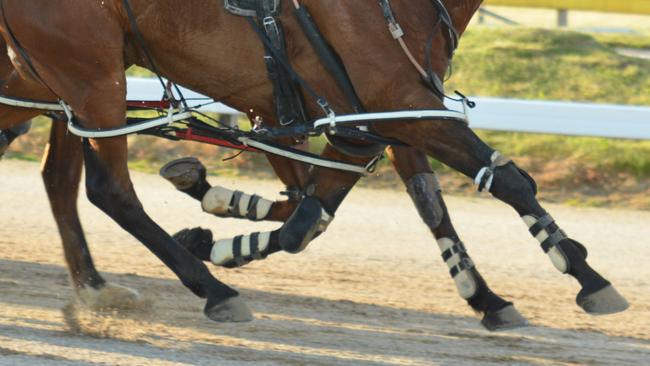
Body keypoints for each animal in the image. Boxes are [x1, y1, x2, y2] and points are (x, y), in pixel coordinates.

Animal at [0, 0, 624, 326]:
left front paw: (487, 296)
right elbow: (510, 182)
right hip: (91, 79)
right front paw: (590, 278)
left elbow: (319, 215)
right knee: (110, 191)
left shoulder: (375, 120)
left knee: (64, 179)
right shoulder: (398, 105)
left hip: (54, 85)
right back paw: (213, 291)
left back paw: (103, 284)